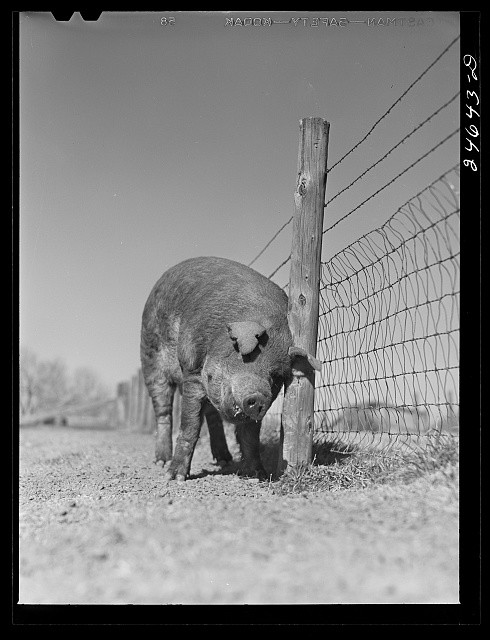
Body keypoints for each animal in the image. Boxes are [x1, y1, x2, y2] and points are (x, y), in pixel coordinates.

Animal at [140, 256, 320, 482]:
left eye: (275, 376)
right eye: (249, 356)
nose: (259, 398)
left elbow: (250, 436)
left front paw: (258, 475)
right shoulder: (192, 370)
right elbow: (190, 425)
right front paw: (175, 477)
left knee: (212, 415)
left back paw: (224, 460)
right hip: (150, 358)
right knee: (163, 411)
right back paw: (161, 462)